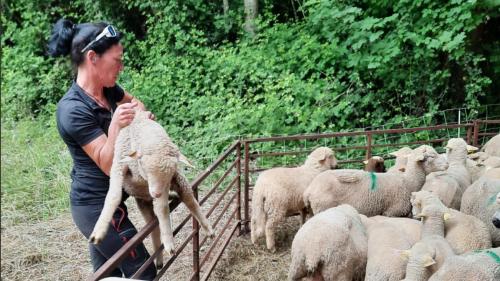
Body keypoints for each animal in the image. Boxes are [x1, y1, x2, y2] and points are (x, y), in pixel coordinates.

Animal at [89, 108, 214, 266]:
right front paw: (98, 232)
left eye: (167, 175)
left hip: (178, 181)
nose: (156, 194)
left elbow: (163, 209)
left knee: (190, 200)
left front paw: (169, 243)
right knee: (153, 226)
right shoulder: (118, 165)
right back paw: (158, 259)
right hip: (143, 203)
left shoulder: (166, 184)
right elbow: (114, 196)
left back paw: (207, 228)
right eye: (144, 167)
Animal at [304, 143, 450, 215]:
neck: (408, 181)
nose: (447, 164)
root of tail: (310, 189)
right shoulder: (393, 212)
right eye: (431, 156)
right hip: (323, 207)